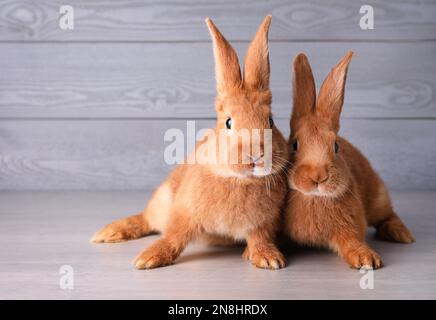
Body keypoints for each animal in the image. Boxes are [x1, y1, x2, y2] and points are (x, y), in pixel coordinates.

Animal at [91, 15, 290, 270]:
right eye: (228, 122)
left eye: (271, 121)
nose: (255, 154)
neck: (239, 180)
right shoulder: (185, 213)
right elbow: (174, 236)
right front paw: (149, 258)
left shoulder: (263, 224)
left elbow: (260, 238)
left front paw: (268, 258)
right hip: (162, 200)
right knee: (146, 219)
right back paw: (109, 233)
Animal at [282, 52, 416, 270]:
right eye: (294, 144)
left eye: (336, 146)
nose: (318, 176)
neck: (314, 197)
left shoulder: (350, 228)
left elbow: (352, 241)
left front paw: (367, 259)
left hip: (378, 198)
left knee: (388, 215)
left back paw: (402, 234)